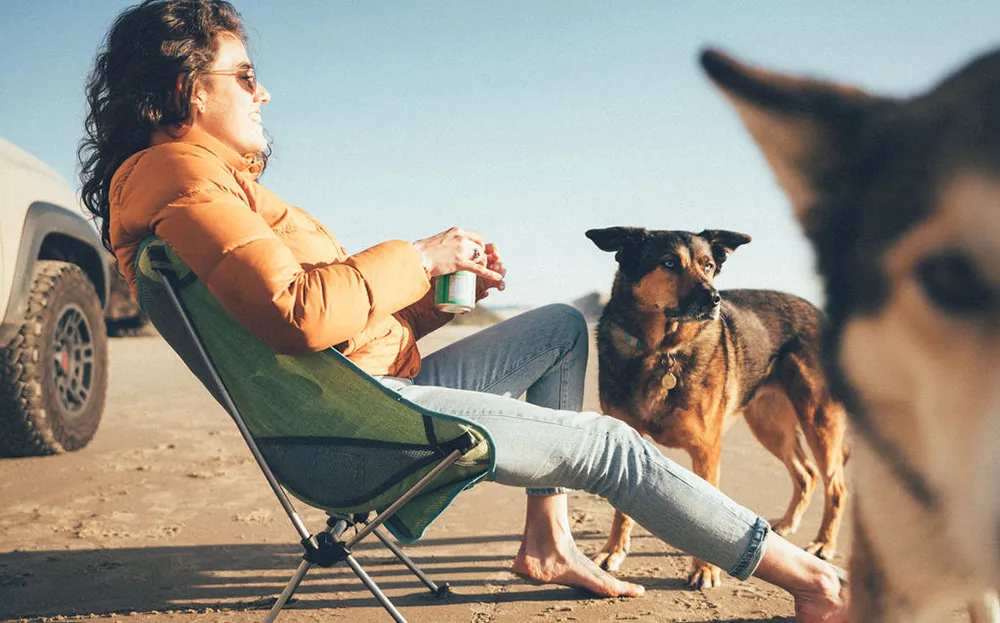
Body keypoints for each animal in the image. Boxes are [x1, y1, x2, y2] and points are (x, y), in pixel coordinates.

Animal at [584, 225, 848, 588]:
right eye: (668, 263)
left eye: (708, 265)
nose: (714, 299)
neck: (661, 350)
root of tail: (818, 313)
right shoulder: (625, 438)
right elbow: (622, 509)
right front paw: (613, 551)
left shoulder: (706, 449)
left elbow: (707, 515)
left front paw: (705, 569)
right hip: (769, 425)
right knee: (806, 473)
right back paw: (786, 525)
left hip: (818, 421)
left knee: (836, 486)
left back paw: (824, 543)